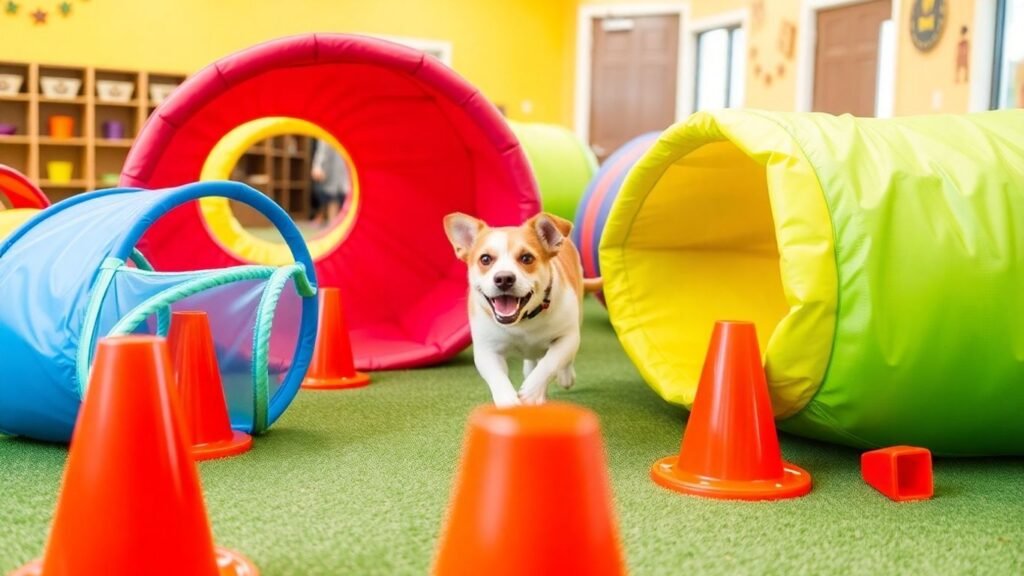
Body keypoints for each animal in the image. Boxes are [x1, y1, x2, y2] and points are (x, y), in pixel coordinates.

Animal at [442, 211, 598, 403]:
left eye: (527, 258)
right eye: (485, 259)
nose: (504, 278)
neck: (523, 322)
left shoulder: (567, 337)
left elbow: (550, 362)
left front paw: (531, 392)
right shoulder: (487, 351)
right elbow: (498, 378)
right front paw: (509, 401)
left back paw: (565, 376)